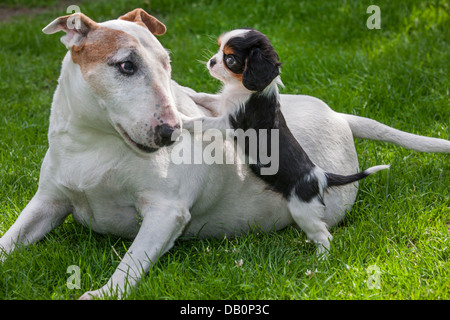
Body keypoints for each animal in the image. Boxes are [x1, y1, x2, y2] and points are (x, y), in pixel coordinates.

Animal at [183, 29, 390, 255]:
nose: (212, 61)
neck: (243, 89)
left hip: (303, 211)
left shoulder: (231, 124)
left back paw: (320, 259)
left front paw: (183, 121)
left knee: (324, 236)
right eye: (219, 49)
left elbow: (203, 121)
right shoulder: (222, 106)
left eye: (230, 59)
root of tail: (321, 176)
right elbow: (208, 97)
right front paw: (190, 93)